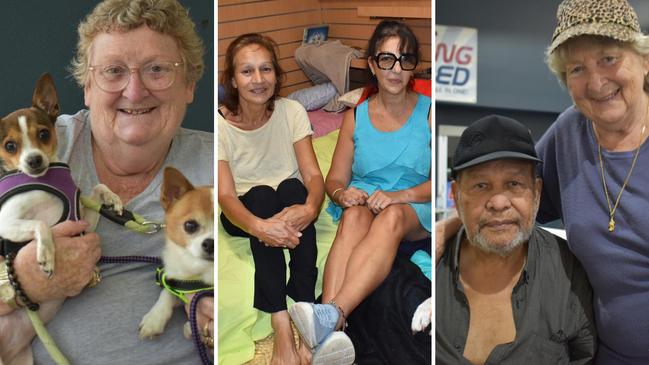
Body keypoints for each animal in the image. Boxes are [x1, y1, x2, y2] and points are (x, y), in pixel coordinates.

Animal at [139, 167, 214, 338]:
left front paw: (193, 328)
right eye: (190, 225)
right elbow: (167, 291)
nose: (211, 243)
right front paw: (155, 317)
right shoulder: (179, 282)